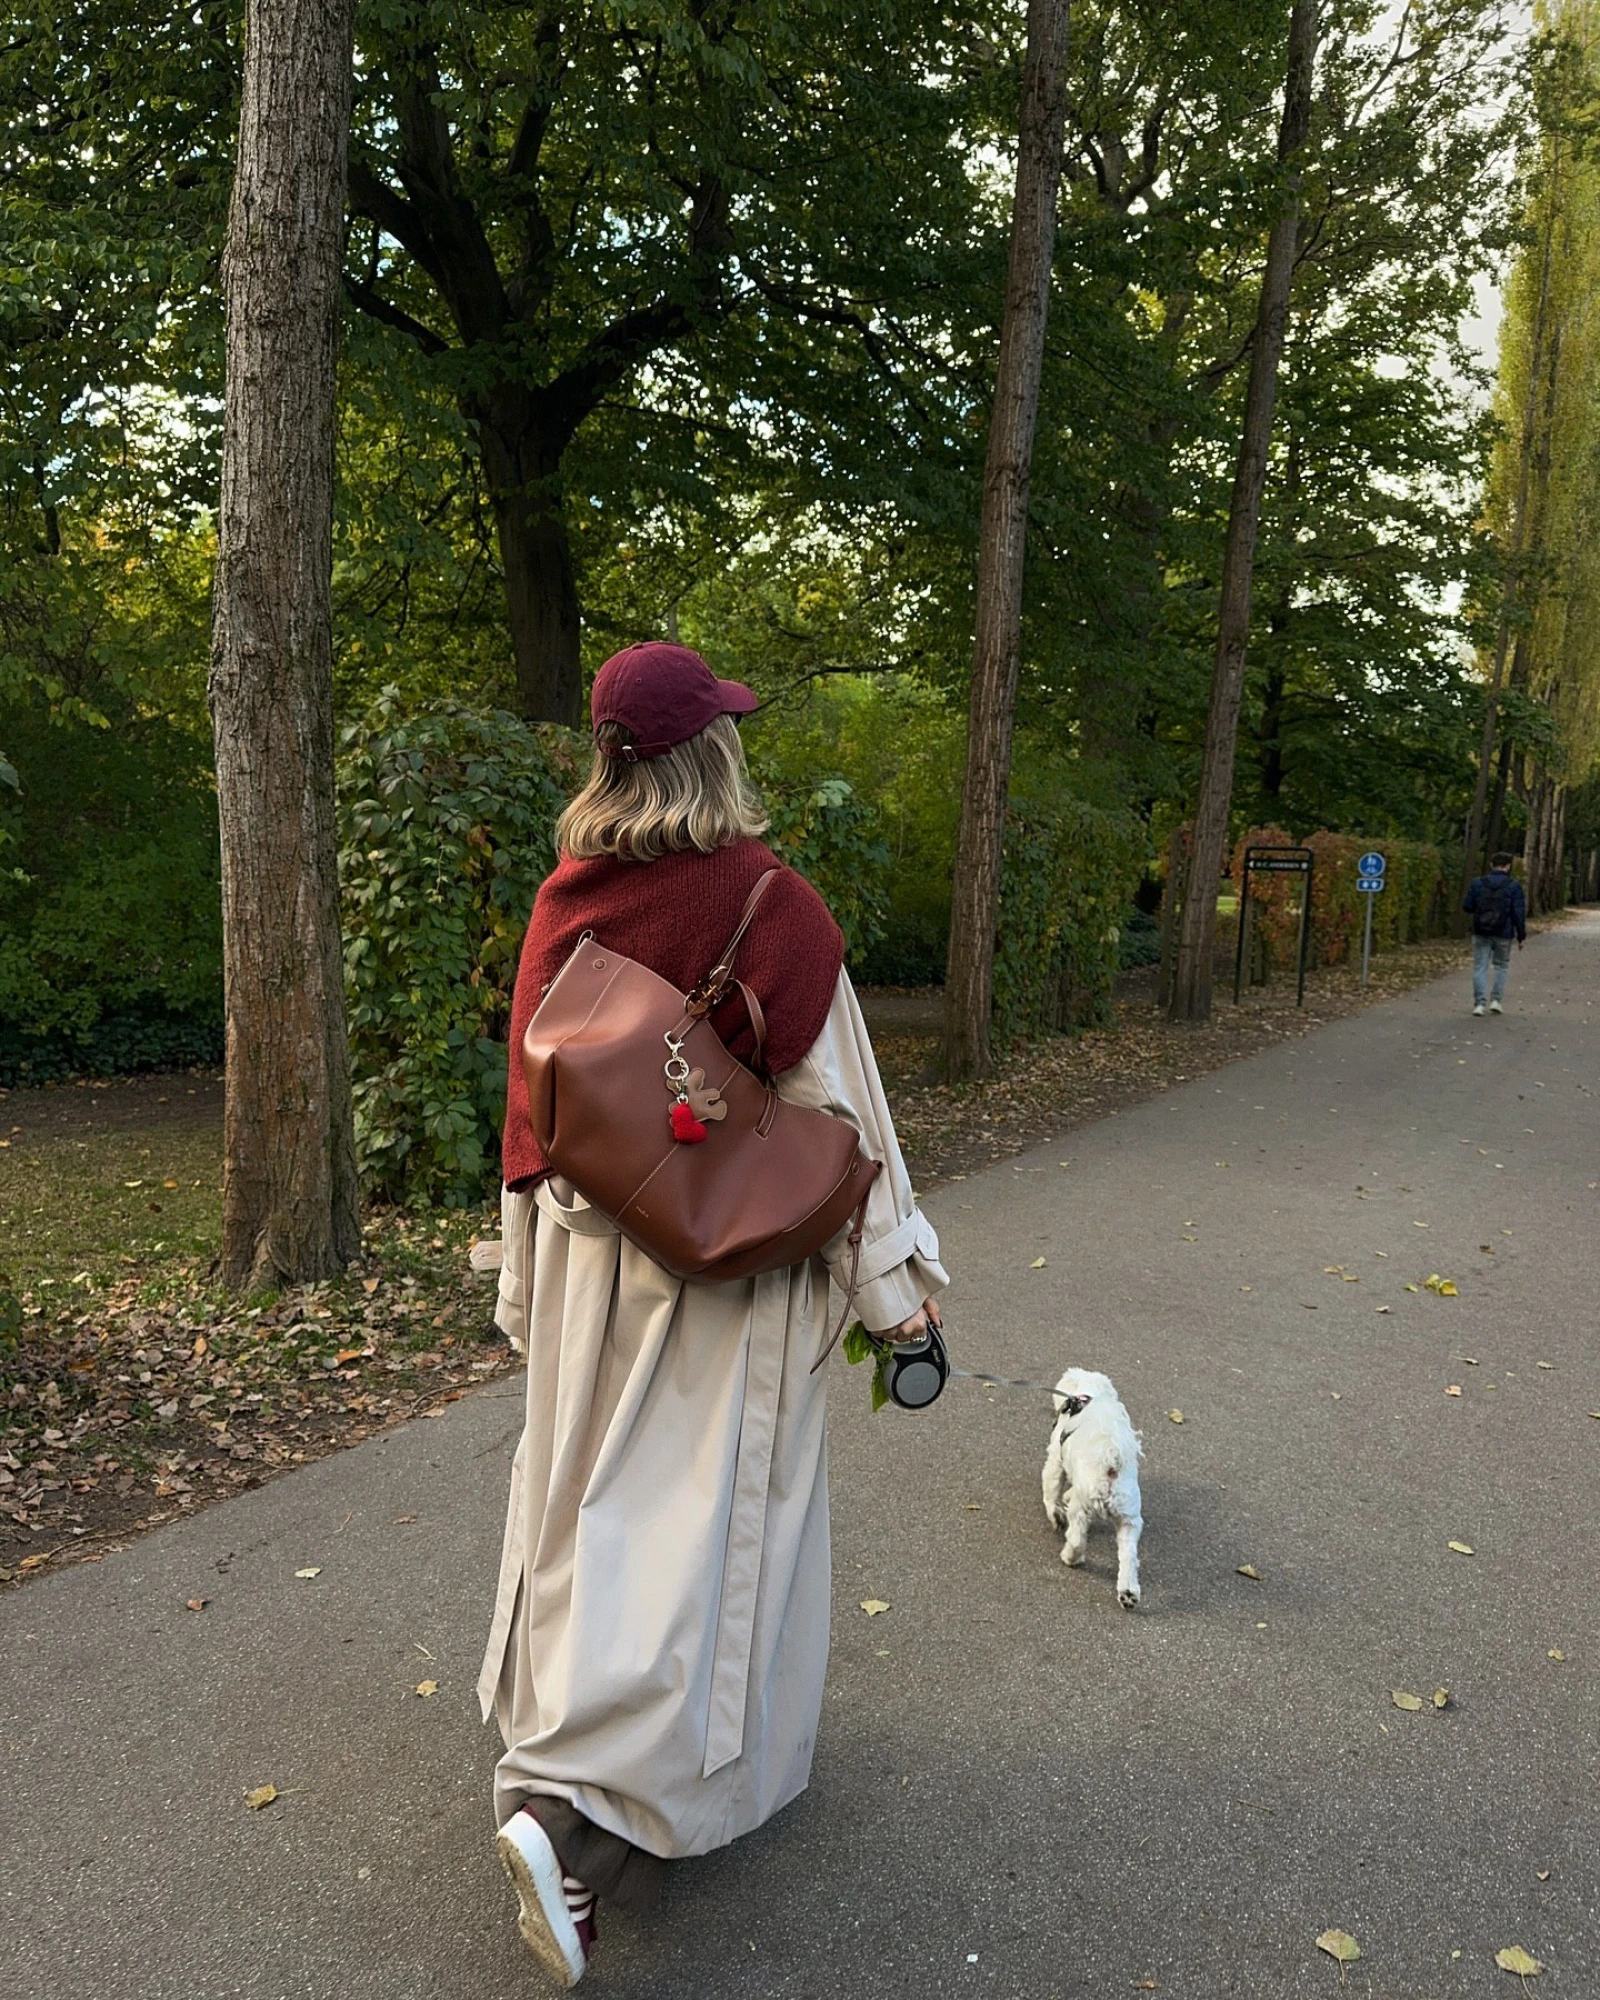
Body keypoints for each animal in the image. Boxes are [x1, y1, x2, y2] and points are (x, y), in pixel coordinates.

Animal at [1040, 1368, 1144, 1616]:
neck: (1087, 1396)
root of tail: (1112, 1461)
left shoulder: (1055, 1460)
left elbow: (1051, 1489)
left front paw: (1055, 1513)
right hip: (1130, 1519)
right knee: (1128, 1557)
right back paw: (1128, 1594)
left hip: (1083, 1506)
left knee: (1077, 1538)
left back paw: (1070, 1557)